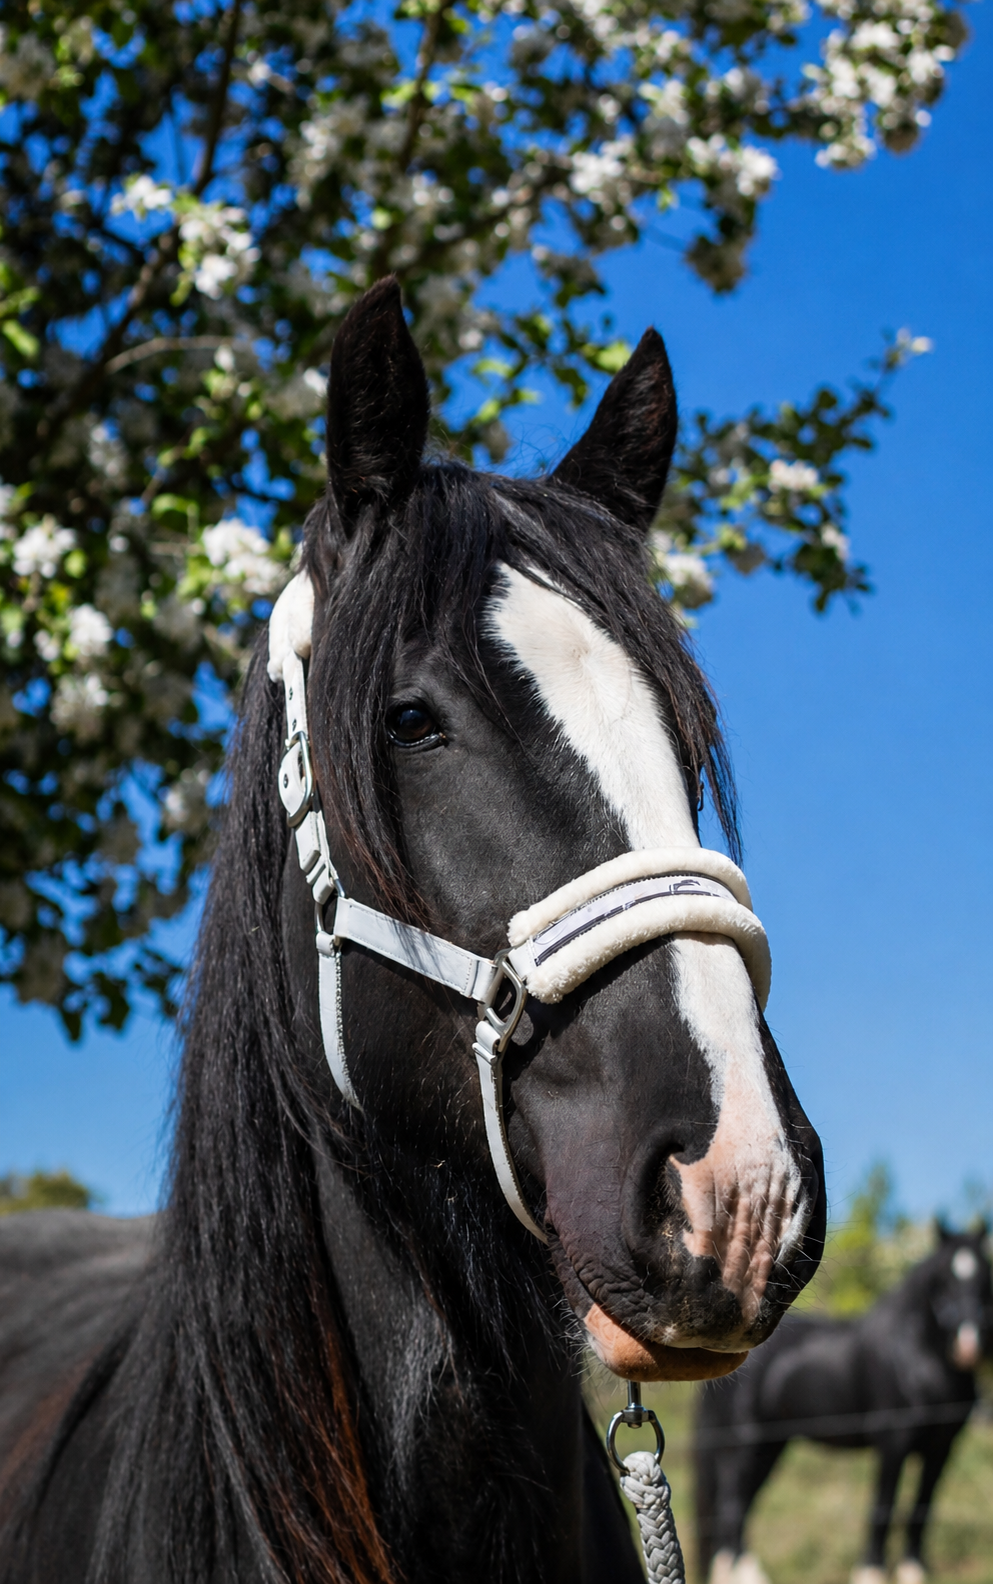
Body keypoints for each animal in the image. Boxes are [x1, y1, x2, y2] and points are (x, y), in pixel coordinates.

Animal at [694, 1226, 992, 1584]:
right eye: (941, 1281)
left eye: (985, 1277)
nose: (969, 1346)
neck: (915, 1358)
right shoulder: (893, 1445)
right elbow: (883, 1507)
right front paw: (871, 1572)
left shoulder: (941, 1449)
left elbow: (922, 1507)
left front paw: (913, 1571)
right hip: (744, 1444)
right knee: (732, 1507)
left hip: (770, 1447)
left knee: (740, 1506)